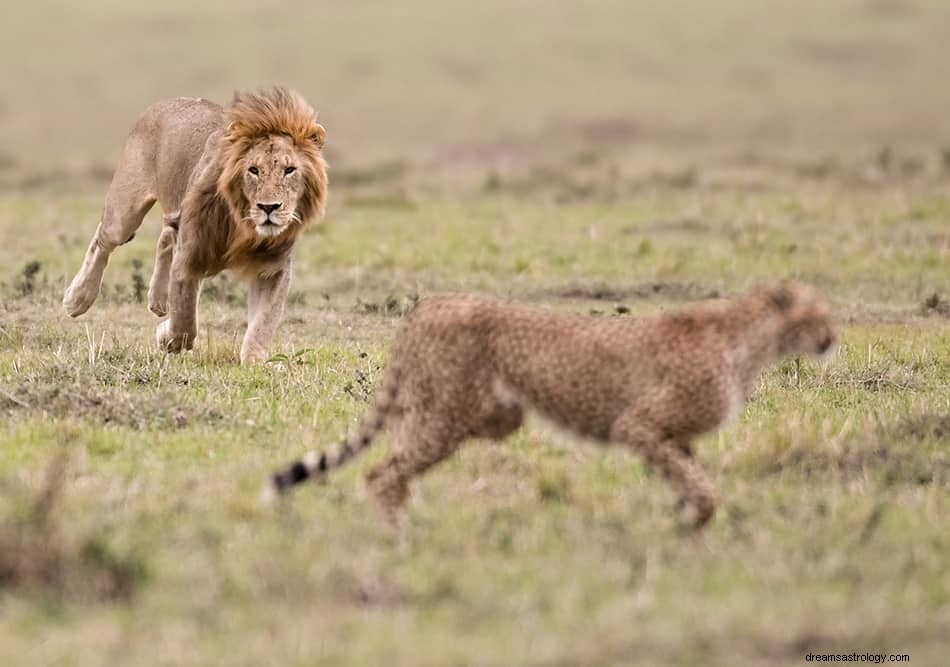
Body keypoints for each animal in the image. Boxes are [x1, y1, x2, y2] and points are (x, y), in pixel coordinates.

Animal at [63, 88, 330, 366]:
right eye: (253, 170)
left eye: (289, 170)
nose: (270, 207)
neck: (244, 225)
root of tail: (167, 101)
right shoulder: (191, 253)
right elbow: (185, 320)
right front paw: (166, 337)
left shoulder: (273, 268)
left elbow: (263, 323)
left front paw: (256, 363)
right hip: (124, 215)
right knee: (103, 241)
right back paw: (77, 298)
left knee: (165, 237)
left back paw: (158, 300)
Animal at [264, 286, 836, 532]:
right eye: (819, 314)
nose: (832, 337)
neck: (751, 338)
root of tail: (431, 303)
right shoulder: (638, 425)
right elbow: (701, 487)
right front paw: (694, 520)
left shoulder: (672, 437)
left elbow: (689, 478)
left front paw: (685, 519)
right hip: (451, 415)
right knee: (382, 472)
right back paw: (399, 536)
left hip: (471, 414)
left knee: (395, 464)